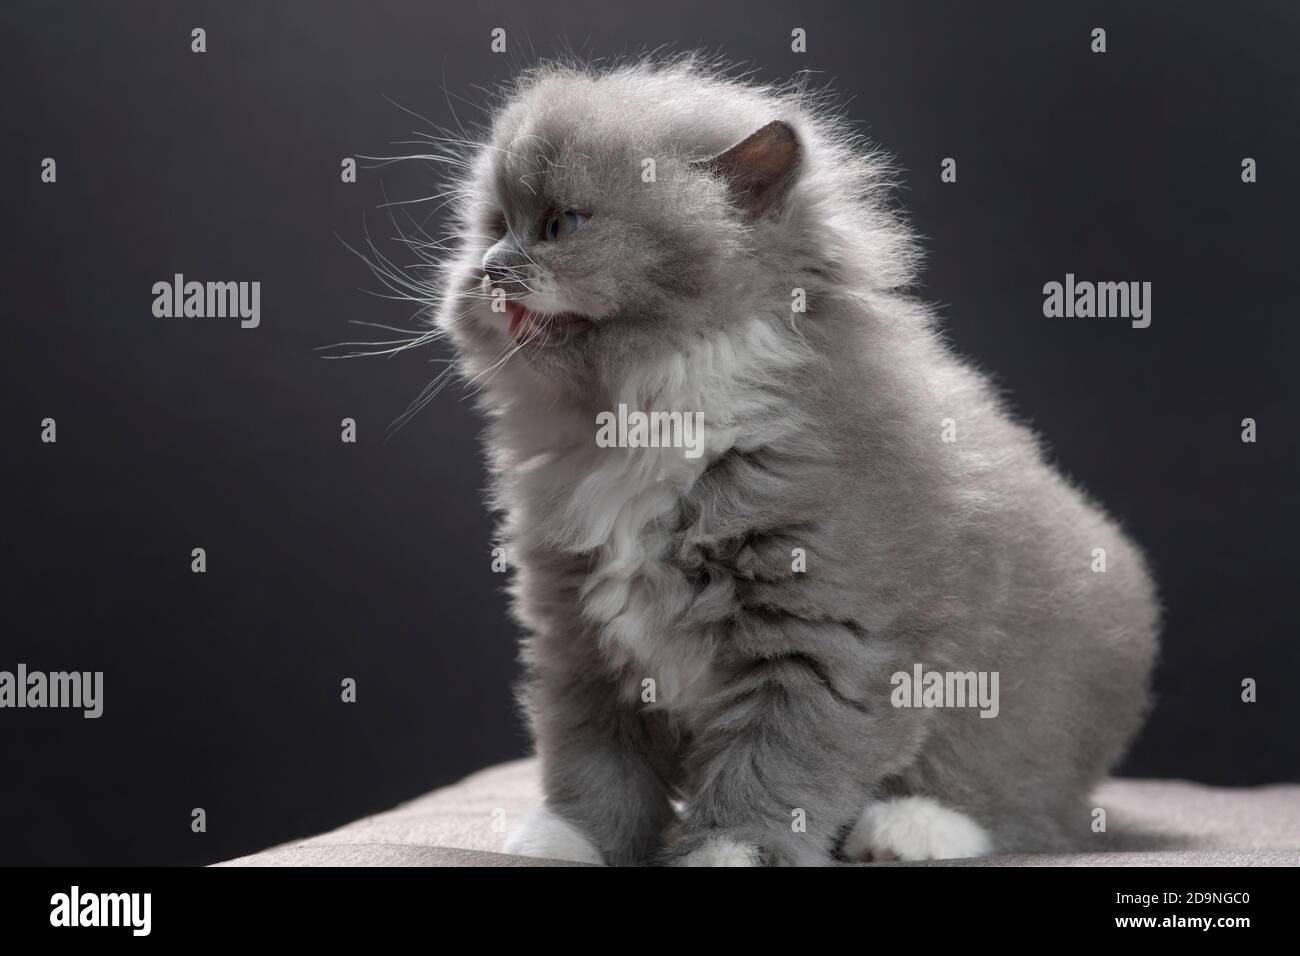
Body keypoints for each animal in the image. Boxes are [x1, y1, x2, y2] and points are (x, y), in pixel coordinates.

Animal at [423, 59, 1159, 868]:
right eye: (495, 227)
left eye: (563, 225)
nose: (491, 269)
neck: (633, 417)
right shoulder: (581, 637)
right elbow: (595, 761)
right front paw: (564, 841)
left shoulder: (822, 637)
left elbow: (772, 766)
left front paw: (727, 853)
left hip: (1019, 695)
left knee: (1022, 801)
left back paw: (909, 830)